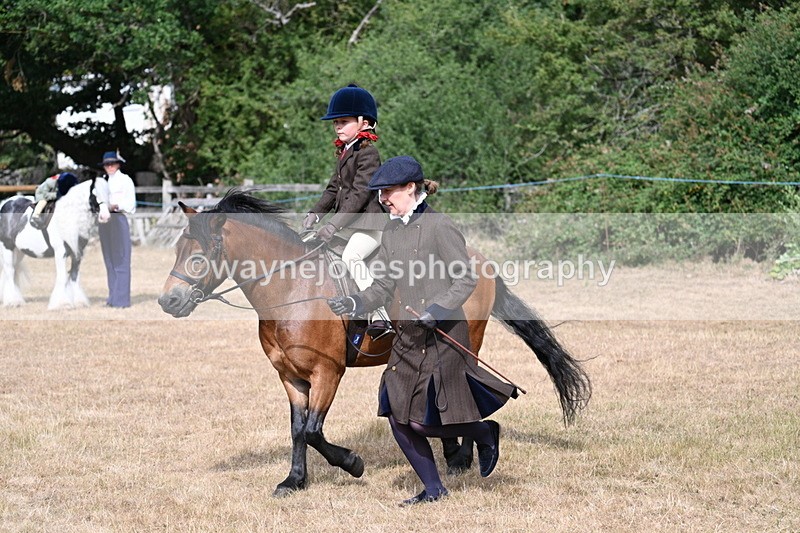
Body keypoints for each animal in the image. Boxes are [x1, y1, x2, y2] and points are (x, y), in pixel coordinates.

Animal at [0, 177, 109, 308]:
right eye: (94, 195)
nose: (105, 216)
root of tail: (6, 203)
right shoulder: (61, 252)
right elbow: (62, 276)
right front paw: (62, 303)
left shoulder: (77, 253)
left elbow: (74, 275)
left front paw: (79, 302)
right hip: (7, 246)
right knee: (10, 271)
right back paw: (13, 301)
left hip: (19, 251)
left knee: (13, 269)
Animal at [158, 190, 591, 497]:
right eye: (177, 249)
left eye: (198, 255)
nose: (168, 302)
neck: (292, 288)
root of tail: (478, 259)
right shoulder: (291, 377)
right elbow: (297, 430)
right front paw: (294, 481)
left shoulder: (327, 372)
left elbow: (314, 431)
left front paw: (352, 463)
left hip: (468, 341)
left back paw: (462, 457)